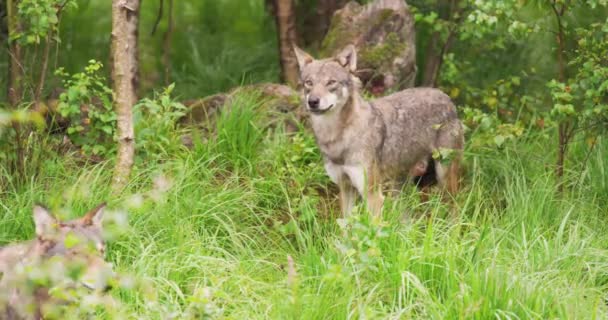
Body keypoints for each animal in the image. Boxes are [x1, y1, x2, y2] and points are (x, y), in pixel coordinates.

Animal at [294, 45, 466, 218]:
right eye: (309, 83)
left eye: (331, 82)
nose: (313, 101)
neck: (338, 136)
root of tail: (446, 98)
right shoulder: (345, 188)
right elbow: (347, 224)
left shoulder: (373, 195)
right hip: (400, 187)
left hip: (445, 177)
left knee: (456, 208)